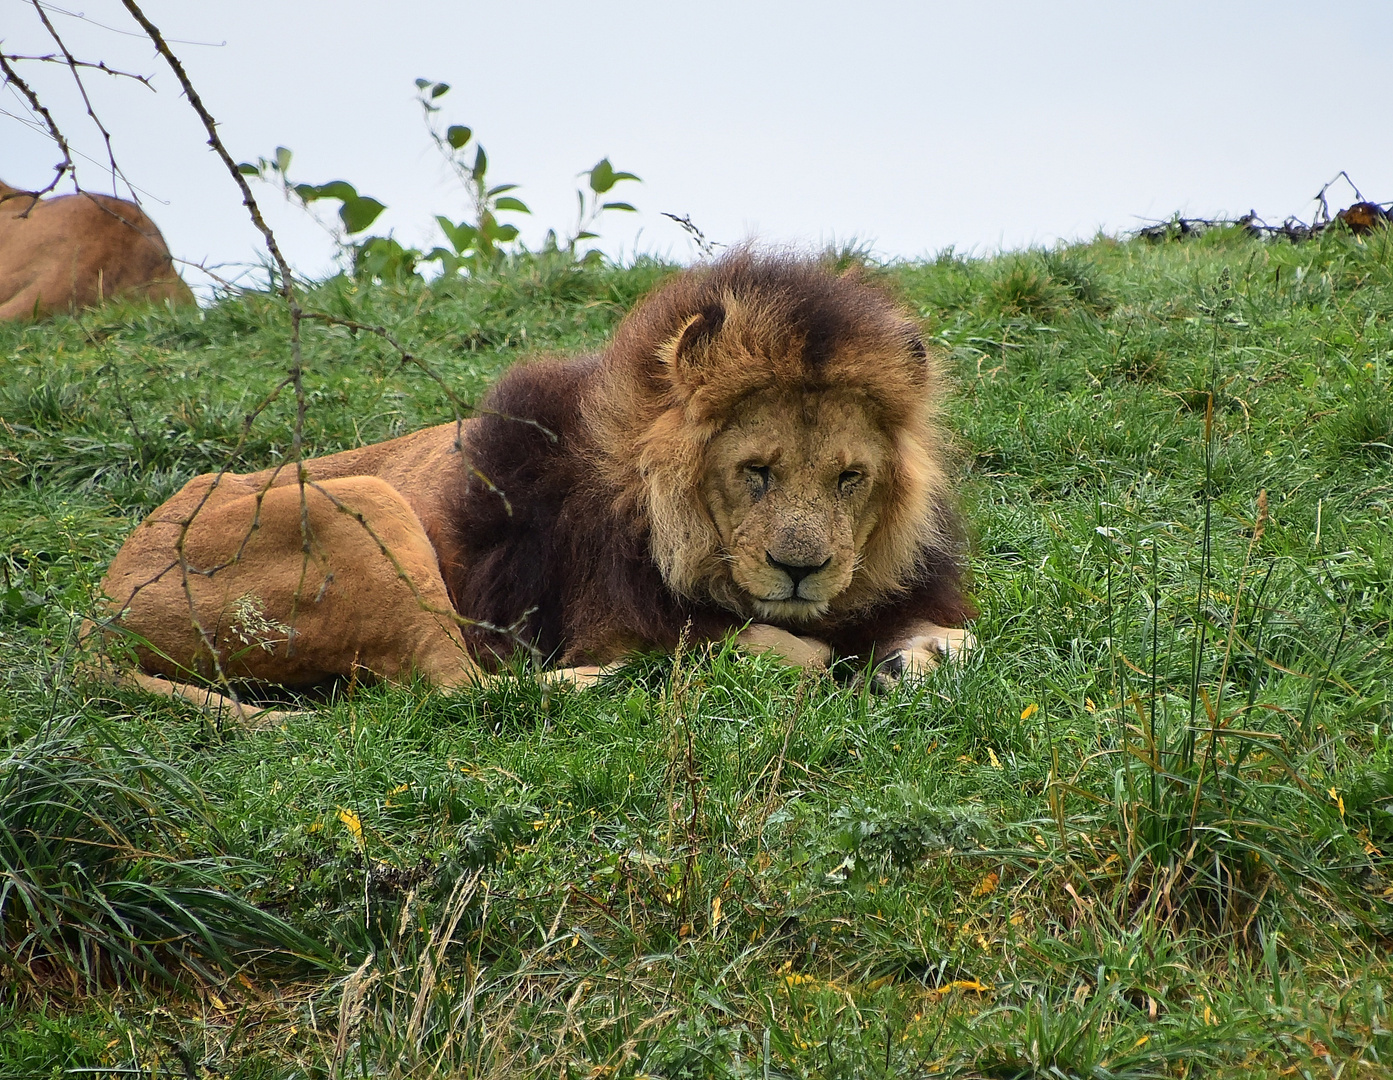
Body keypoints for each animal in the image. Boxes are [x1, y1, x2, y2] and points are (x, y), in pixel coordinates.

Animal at [98, 250, 975, 719]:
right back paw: (613, 682)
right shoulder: (617, 617)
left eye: (849, 479)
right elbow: (778, 647)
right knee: (454, 690)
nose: (802, 570)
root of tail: (100, 605)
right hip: (358, 504)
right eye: (753, 472)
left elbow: (958, 640)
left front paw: (913, 658)